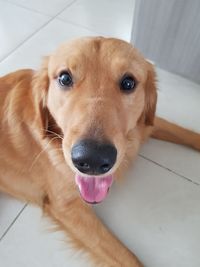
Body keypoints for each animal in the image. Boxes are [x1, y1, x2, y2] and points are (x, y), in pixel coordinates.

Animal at [0, 36, 199, 266]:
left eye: (128, 82)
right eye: (65, 78)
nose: (92, 160)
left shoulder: (145, 125)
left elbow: (181, 131)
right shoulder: (66, 206)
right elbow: (128, 257)